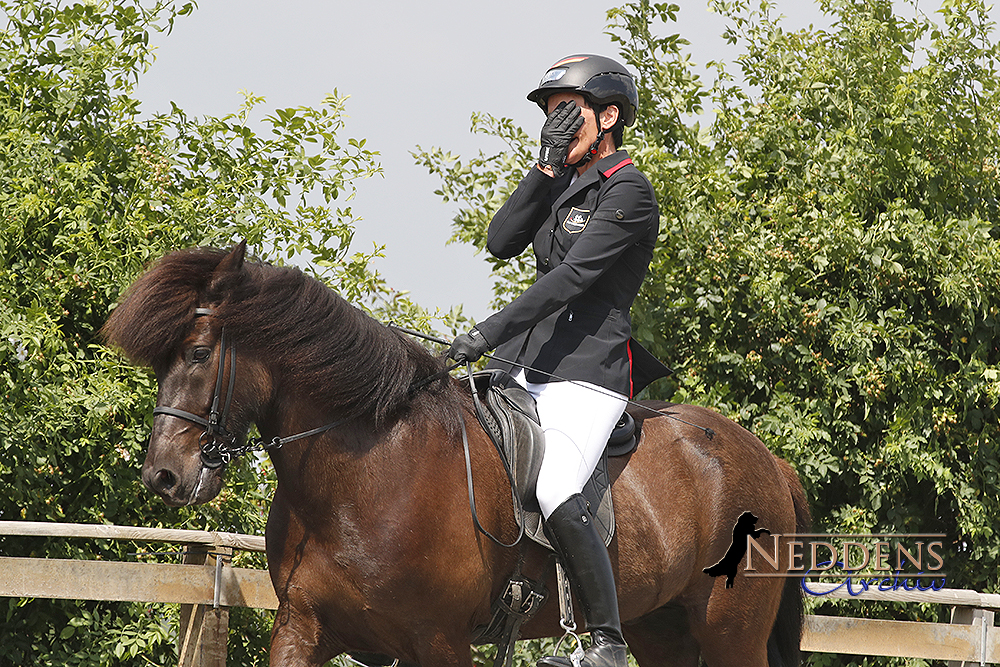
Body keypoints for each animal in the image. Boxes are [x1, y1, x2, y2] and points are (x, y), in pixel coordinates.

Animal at [103, 244, 812, 667]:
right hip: (663, 631)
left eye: (198, 354)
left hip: (730, 634)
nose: (164, 475)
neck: (363, 476)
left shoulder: (439, 642)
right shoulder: (304, 630)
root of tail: (768, 461)